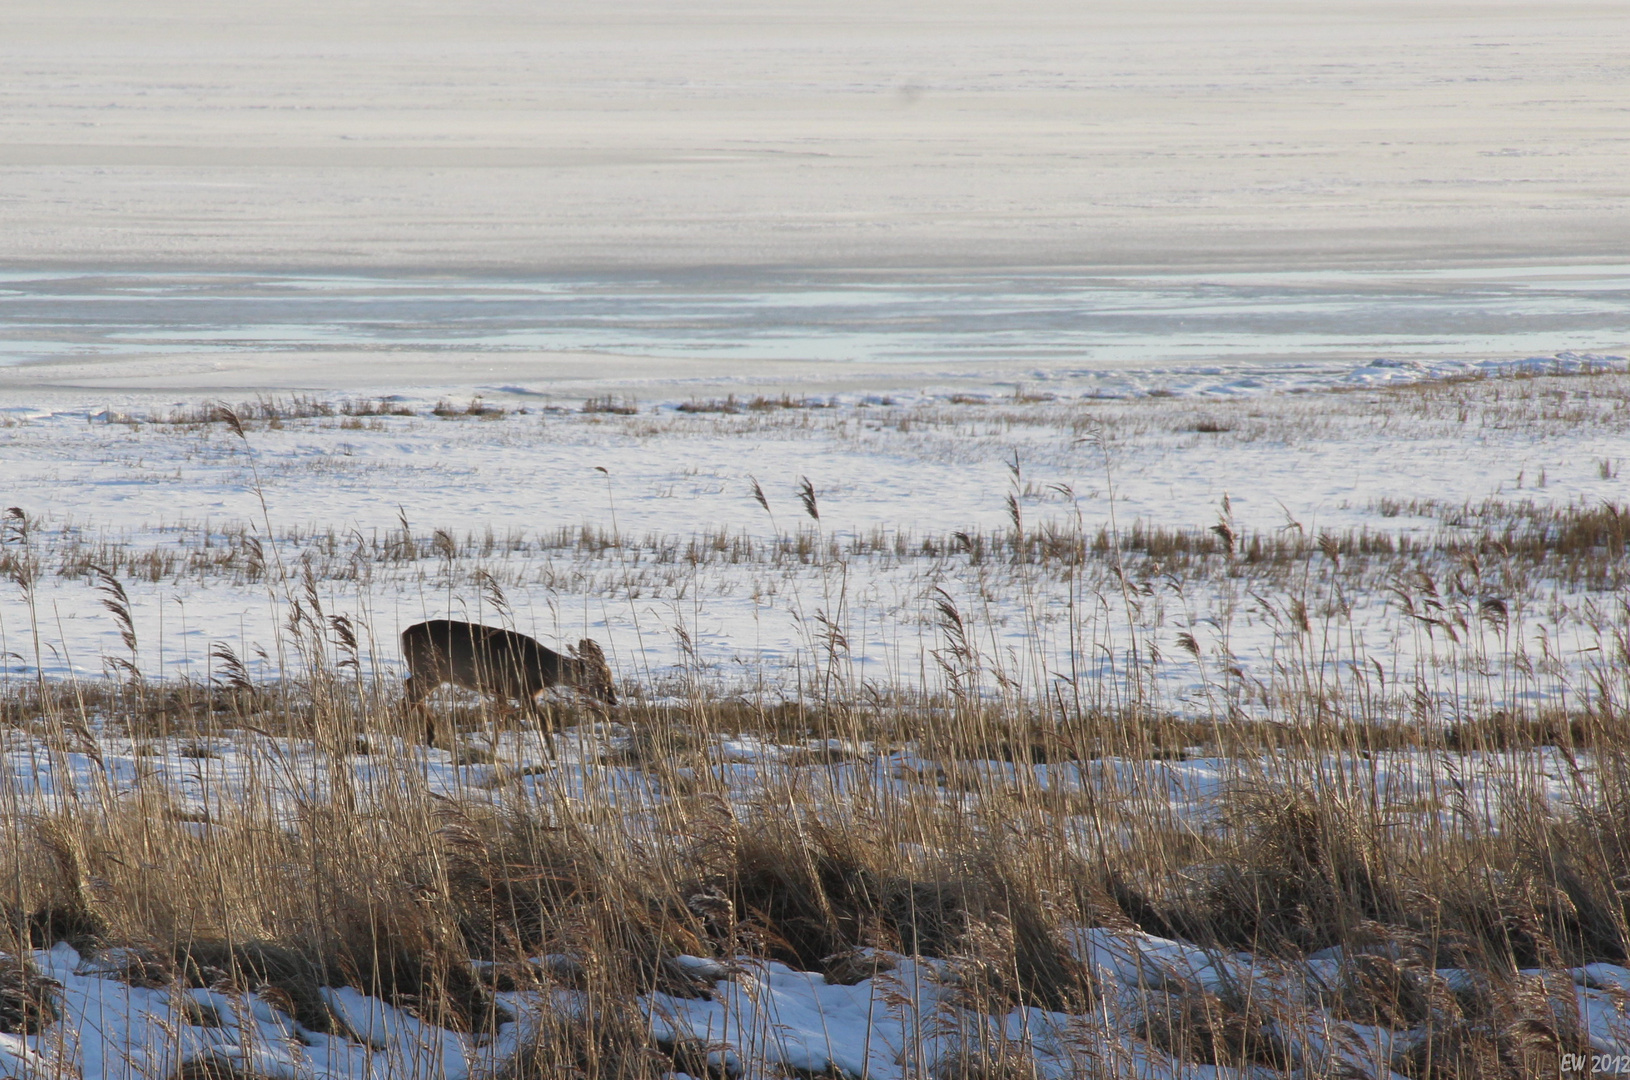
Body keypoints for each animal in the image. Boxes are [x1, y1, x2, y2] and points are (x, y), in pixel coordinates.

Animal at [400, 622, 616, 723]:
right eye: (599, 677)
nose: (613, 699)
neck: (541, 667)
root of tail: (404, 633)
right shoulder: (522, 690)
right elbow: (544, 723)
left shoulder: (500, 690)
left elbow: (502, 720)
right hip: (429, 671)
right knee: (409, 698)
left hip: (429, 673)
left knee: (409, 689)